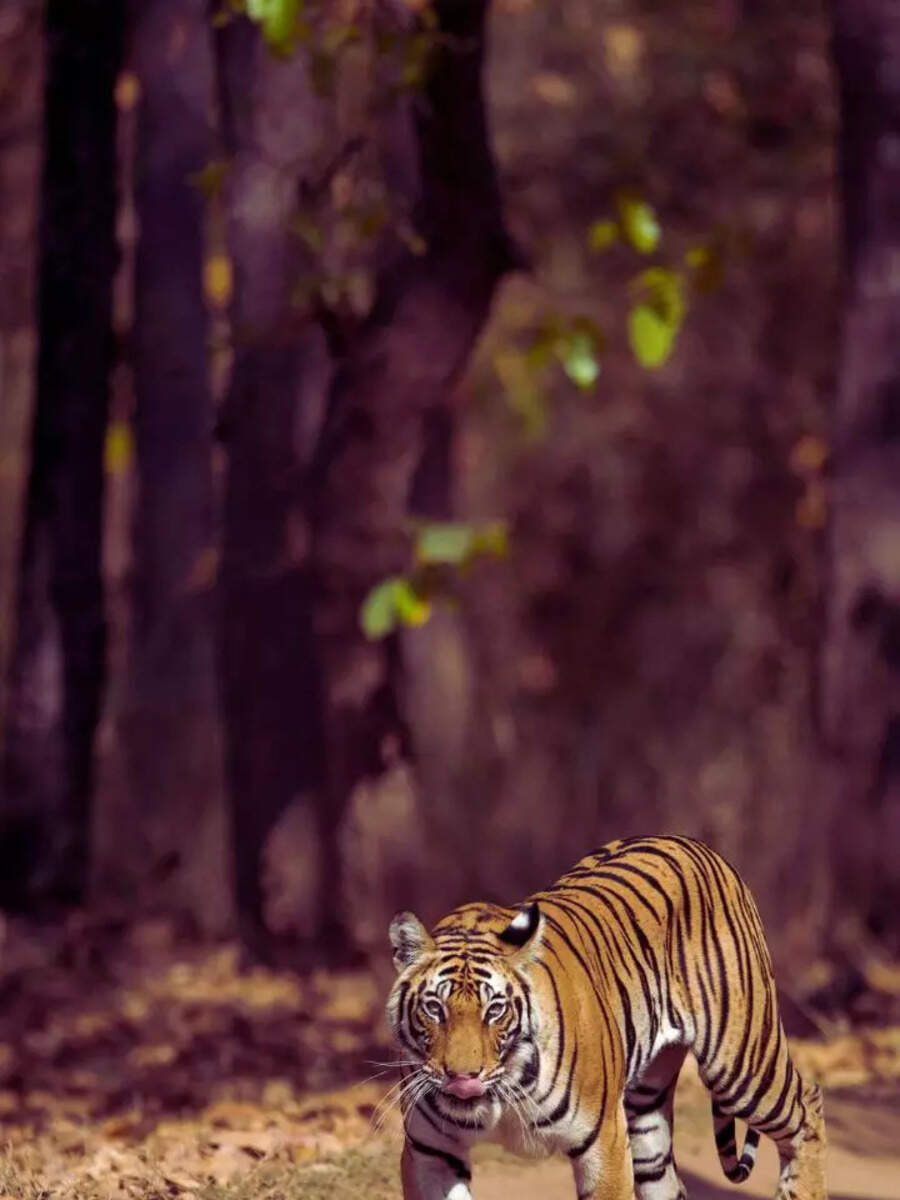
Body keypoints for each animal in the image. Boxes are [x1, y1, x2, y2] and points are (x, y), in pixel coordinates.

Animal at [386, 834, 826, 1200]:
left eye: (494, 1010)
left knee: (808, 1105)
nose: (463, 1077)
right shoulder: (431, 1152)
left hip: (739, 1064)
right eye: (434, 1008)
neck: (499, 1094)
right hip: (647, 1114)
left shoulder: (604, 1144)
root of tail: (696, 844)